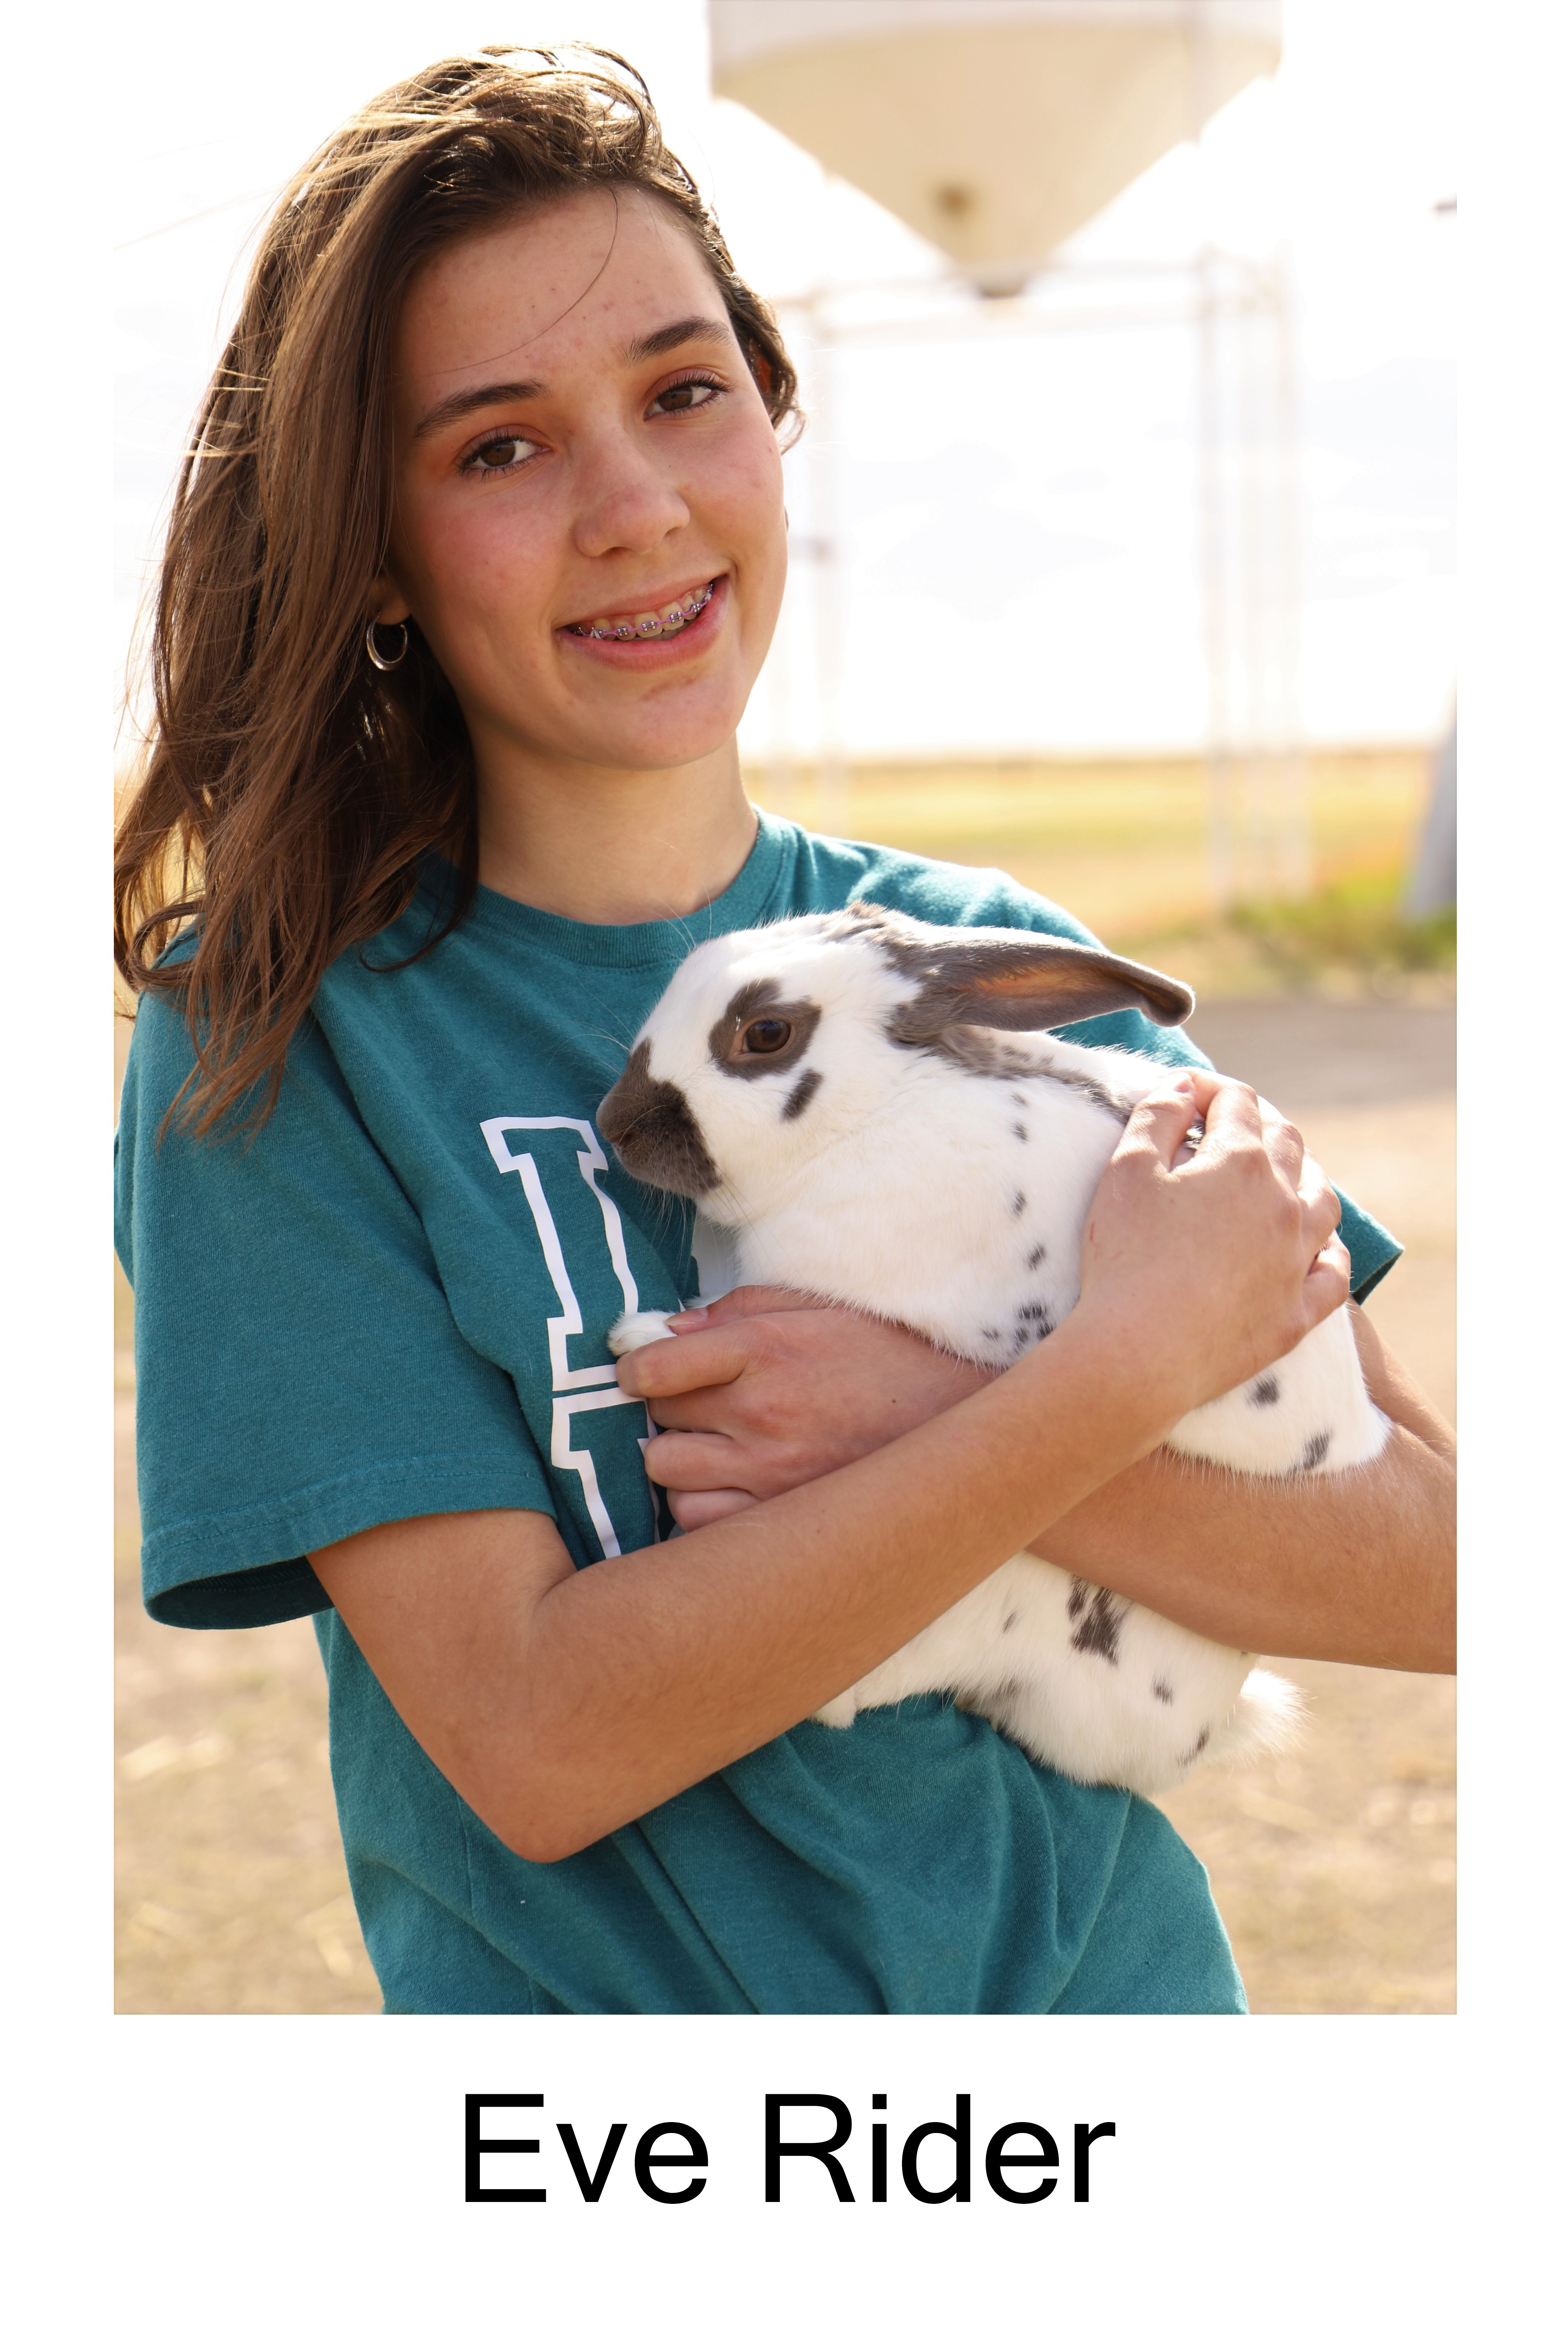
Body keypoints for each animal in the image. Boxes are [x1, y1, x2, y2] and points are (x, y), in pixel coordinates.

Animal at [597, 903, 1382, 1797]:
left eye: (766, 1033)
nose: (614, 1126)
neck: (879, 1108)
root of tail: (1202, 1726)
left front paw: (643, 1335)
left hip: (994, 1580)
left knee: (861, 1694)